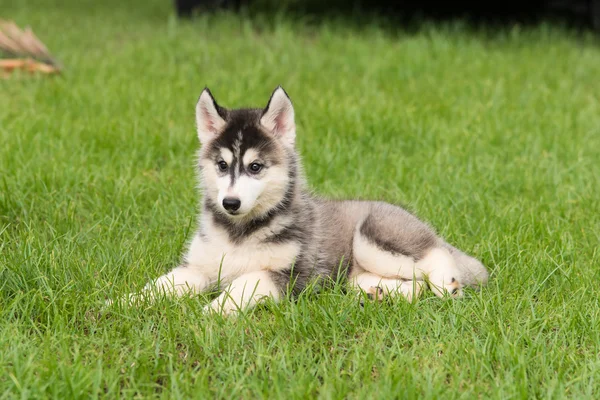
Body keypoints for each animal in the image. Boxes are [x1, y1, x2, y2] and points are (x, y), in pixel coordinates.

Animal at [125, 86, 488, 314]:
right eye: (222, 165)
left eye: (255, 167)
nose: (230, 203)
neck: (240, 233)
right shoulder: (198, 267)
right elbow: (159, 286)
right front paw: (123, 302)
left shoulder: (289, 275)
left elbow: (245, 282)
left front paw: (212, 311)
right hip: (352, 275)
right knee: (412, 286)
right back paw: (380, 294)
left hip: (374, 237)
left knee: (435, 255)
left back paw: (448, 285)